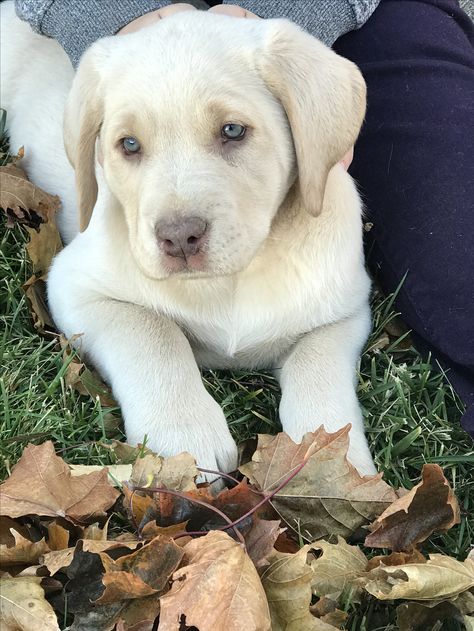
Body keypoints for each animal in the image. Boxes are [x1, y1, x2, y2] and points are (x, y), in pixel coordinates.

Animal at [1, 1, 376, 474]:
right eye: (128, 144)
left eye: (232, 131)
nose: (179, 239)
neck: (232, 281)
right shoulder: (77, 289)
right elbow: (153, 333)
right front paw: (185, 436)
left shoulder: (342, 313)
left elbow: (319, 372)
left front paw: (330, 464)